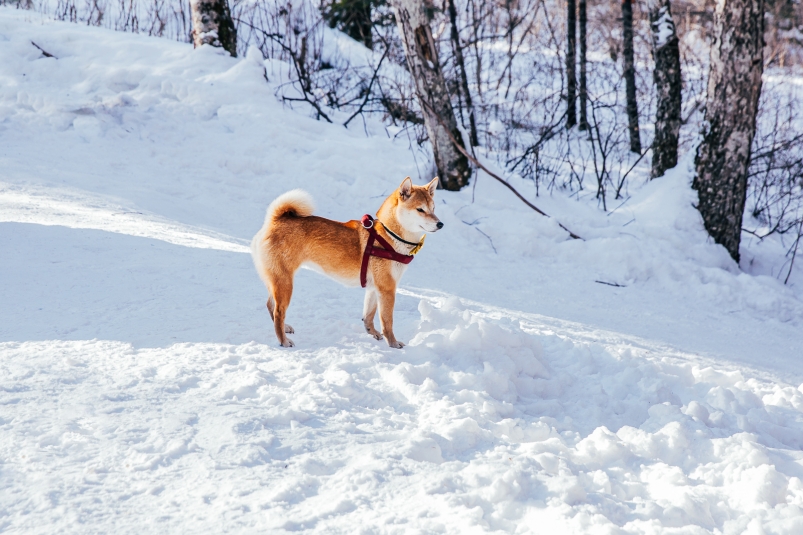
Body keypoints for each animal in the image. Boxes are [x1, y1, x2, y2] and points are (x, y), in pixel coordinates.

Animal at [251, 178, 442, 350]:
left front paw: (372, 332)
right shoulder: (387, 288)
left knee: (271, 306)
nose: (440, 224)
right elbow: (387, 322)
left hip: (278, 280)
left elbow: (369, 315)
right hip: (285, 283)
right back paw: (283, 340)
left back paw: (285, 328)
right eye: (420, 209)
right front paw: (393, 343)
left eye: (433, 209)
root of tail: (275, 220)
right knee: (278, 312)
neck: (389, 236)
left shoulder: (375, 287)